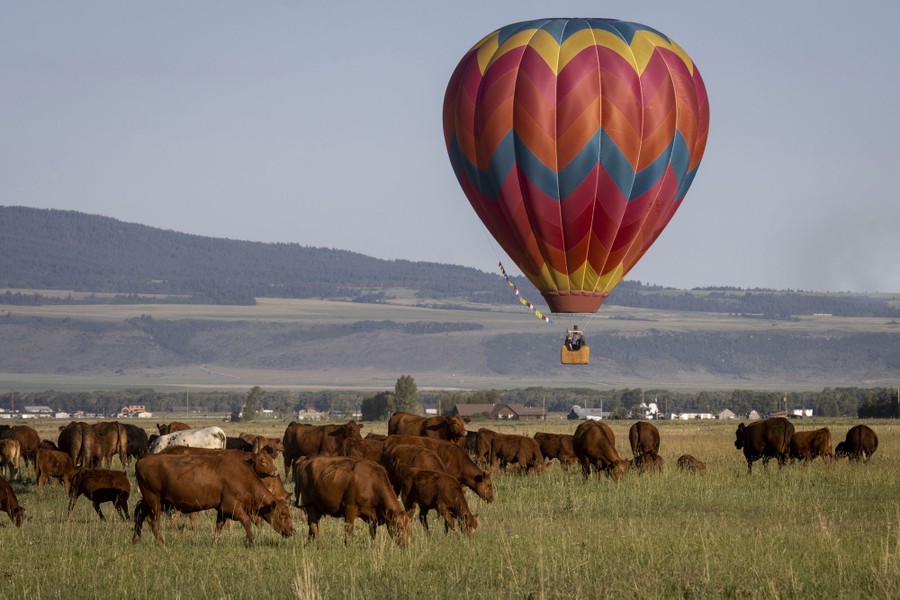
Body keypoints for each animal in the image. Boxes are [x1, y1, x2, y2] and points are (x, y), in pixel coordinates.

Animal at [133, 451, 294, 545]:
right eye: (282, 514)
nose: (292, 531)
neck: (242, 477)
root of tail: (143, 458)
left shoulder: (222, 510)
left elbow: (218, 526)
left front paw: (215, 542)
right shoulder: (232, 507)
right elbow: (246, 522)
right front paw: (250, 541)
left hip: (151, 501)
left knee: (140, 514)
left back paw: (137, 540)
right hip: (154, 500)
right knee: (153, 521)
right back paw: (161, 542)